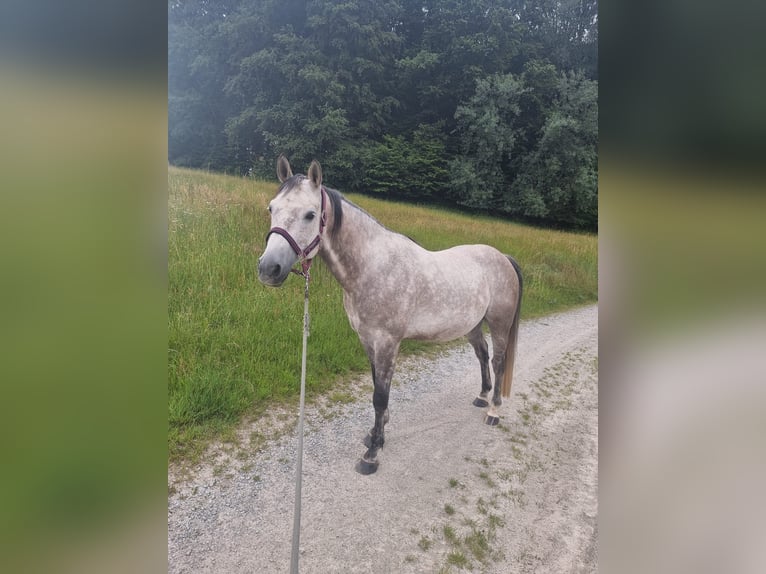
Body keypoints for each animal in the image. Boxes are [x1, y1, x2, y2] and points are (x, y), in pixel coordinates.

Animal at [258, 158, 520, 476]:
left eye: (310, 214)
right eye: (272, 208)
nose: (269, 268)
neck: (372, 266)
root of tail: (504, 258)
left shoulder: (387, 343)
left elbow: (380, 396)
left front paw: (371, 454)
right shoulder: (368, 340)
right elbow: (376, 390)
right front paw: (375, 435)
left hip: (499, 324)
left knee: (498, 361)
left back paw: (493, 410)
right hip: (472, 326)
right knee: (482, 355)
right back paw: (481, 398)